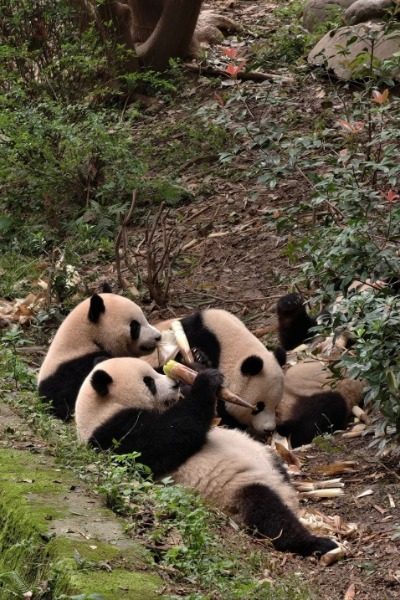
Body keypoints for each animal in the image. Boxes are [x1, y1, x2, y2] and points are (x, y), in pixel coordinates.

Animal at [74, 356, 338, 556]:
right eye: (149, 381)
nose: (174, 384)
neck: (100, 411)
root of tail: (289, 499)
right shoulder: (115, 434)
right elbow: (167, 438)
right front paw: (205, 381)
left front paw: (196, 370)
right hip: (238, 492)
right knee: (267, 511)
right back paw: (315, 543)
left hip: (267, 458)